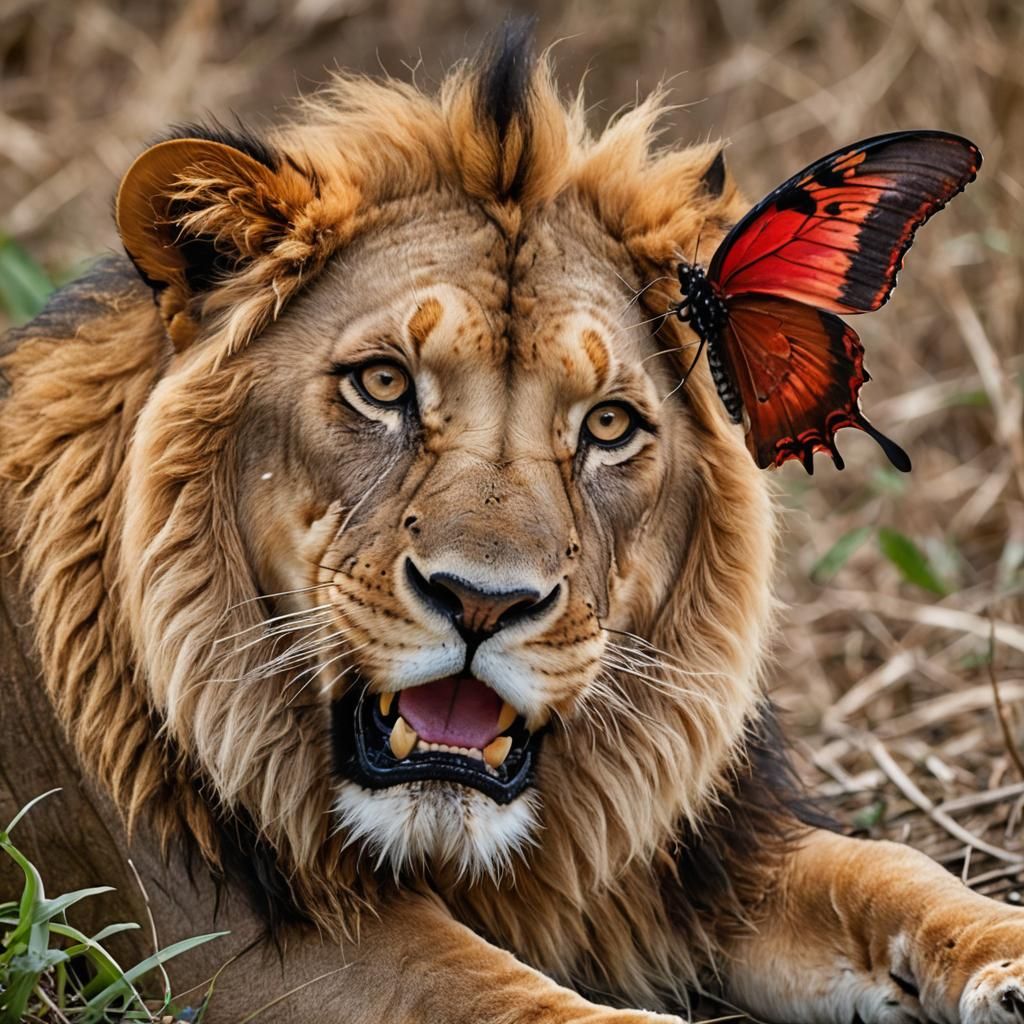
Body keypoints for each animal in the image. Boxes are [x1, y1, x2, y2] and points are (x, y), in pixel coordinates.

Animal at [3, 26, 1024, 1024]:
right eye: (383, 383)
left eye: (608, 425)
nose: (482, 604)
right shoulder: (232, 937)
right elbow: (500, 998)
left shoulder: (709, 858)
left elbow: (887, 867)